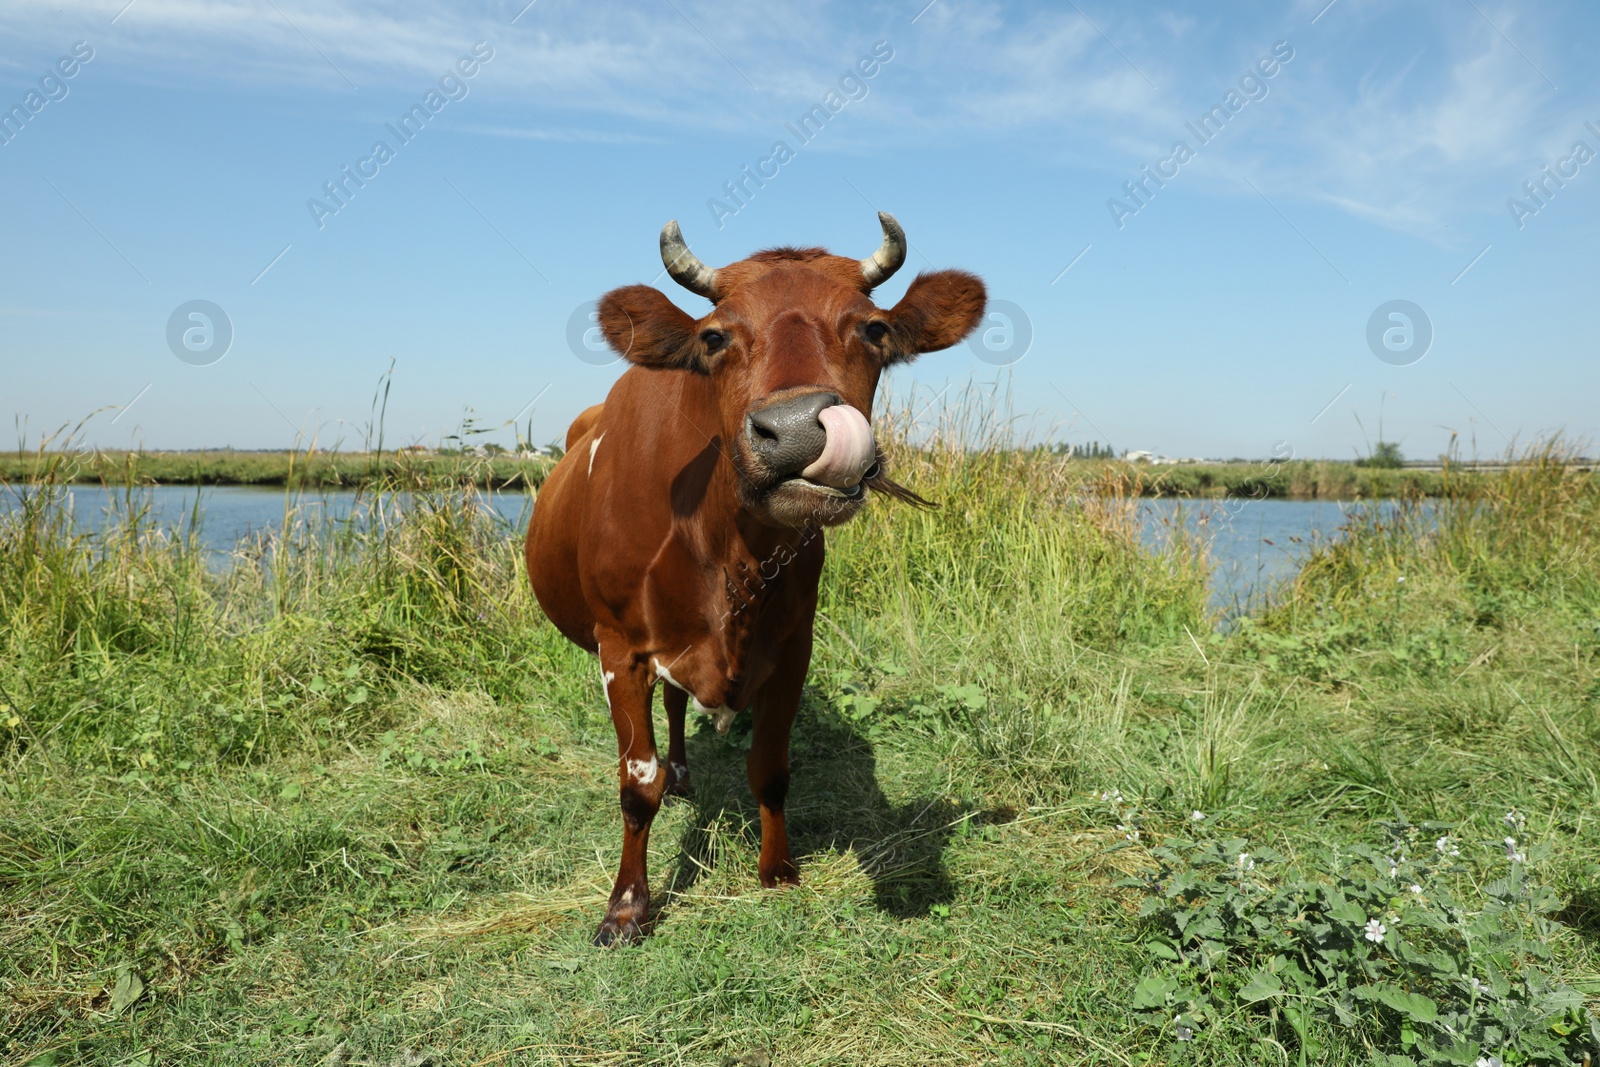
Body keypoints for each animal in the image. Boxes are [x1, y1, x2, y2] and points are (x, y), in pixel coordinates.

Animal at [524, 212, 979, 947]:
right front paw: (626, 908)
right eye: (714, 338)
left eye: (874, 329)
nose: (796, 431)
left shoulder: (794, 644)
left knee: (678, 704)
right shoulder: (620, 647)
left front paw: (778, 870)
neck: (724, 547)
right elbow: (636, 784)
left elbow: (770, 766)